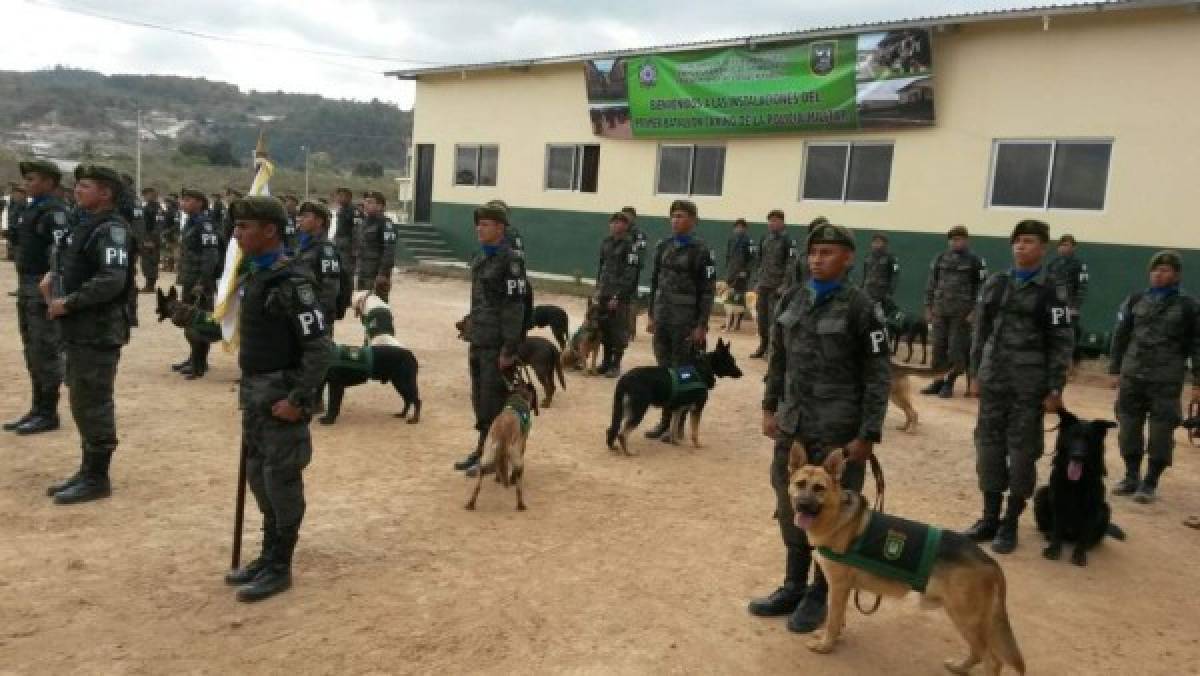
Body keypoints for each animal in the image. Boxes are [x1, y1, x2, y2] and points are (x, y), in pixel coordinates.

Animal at [609, 338, 739, 453]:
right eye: (732, 362)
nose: (741, 373)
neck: (703, 368)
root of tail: (625, 378)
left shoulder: (678, 409)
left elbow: (674, 427)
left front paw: (674, 442)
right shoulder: (697, 409)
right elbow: (694, 431)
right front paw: (697, 444)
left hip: (623, 409)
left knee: (612, 429)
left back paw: (613, 446)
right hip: (638, 410)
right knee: (622, 434)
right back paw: (628, 452)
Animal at [792, 446, 1027, 672]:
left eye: (819, 488)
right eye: (799, 484)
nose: (802, 505)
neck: (835, 516)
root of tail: (988, 559)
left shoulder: (839, 587)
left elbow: (833, 619)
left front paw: (826, 645)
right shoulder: (843, 589)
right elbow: (839, 618)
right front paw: (833, 637)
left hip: (965, 616)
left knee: (992, 660)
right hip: (964, 616)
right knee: (979, 653)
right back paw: (959, 667)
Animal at [1032, 410, 1123, 569]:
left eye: (1088, 440)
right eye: (1072, 437)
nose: (1077, 456)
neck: (1077, 482)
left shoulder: (1091, 507)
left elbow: (1084, 535)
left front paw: (1079, 554)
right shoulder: (1058, 502)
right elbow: (1057, 528)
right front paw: (1053, 549)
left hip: (1104, 509)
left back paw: (1088, 545)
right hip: (1041, 494)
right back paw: (1049, 535)